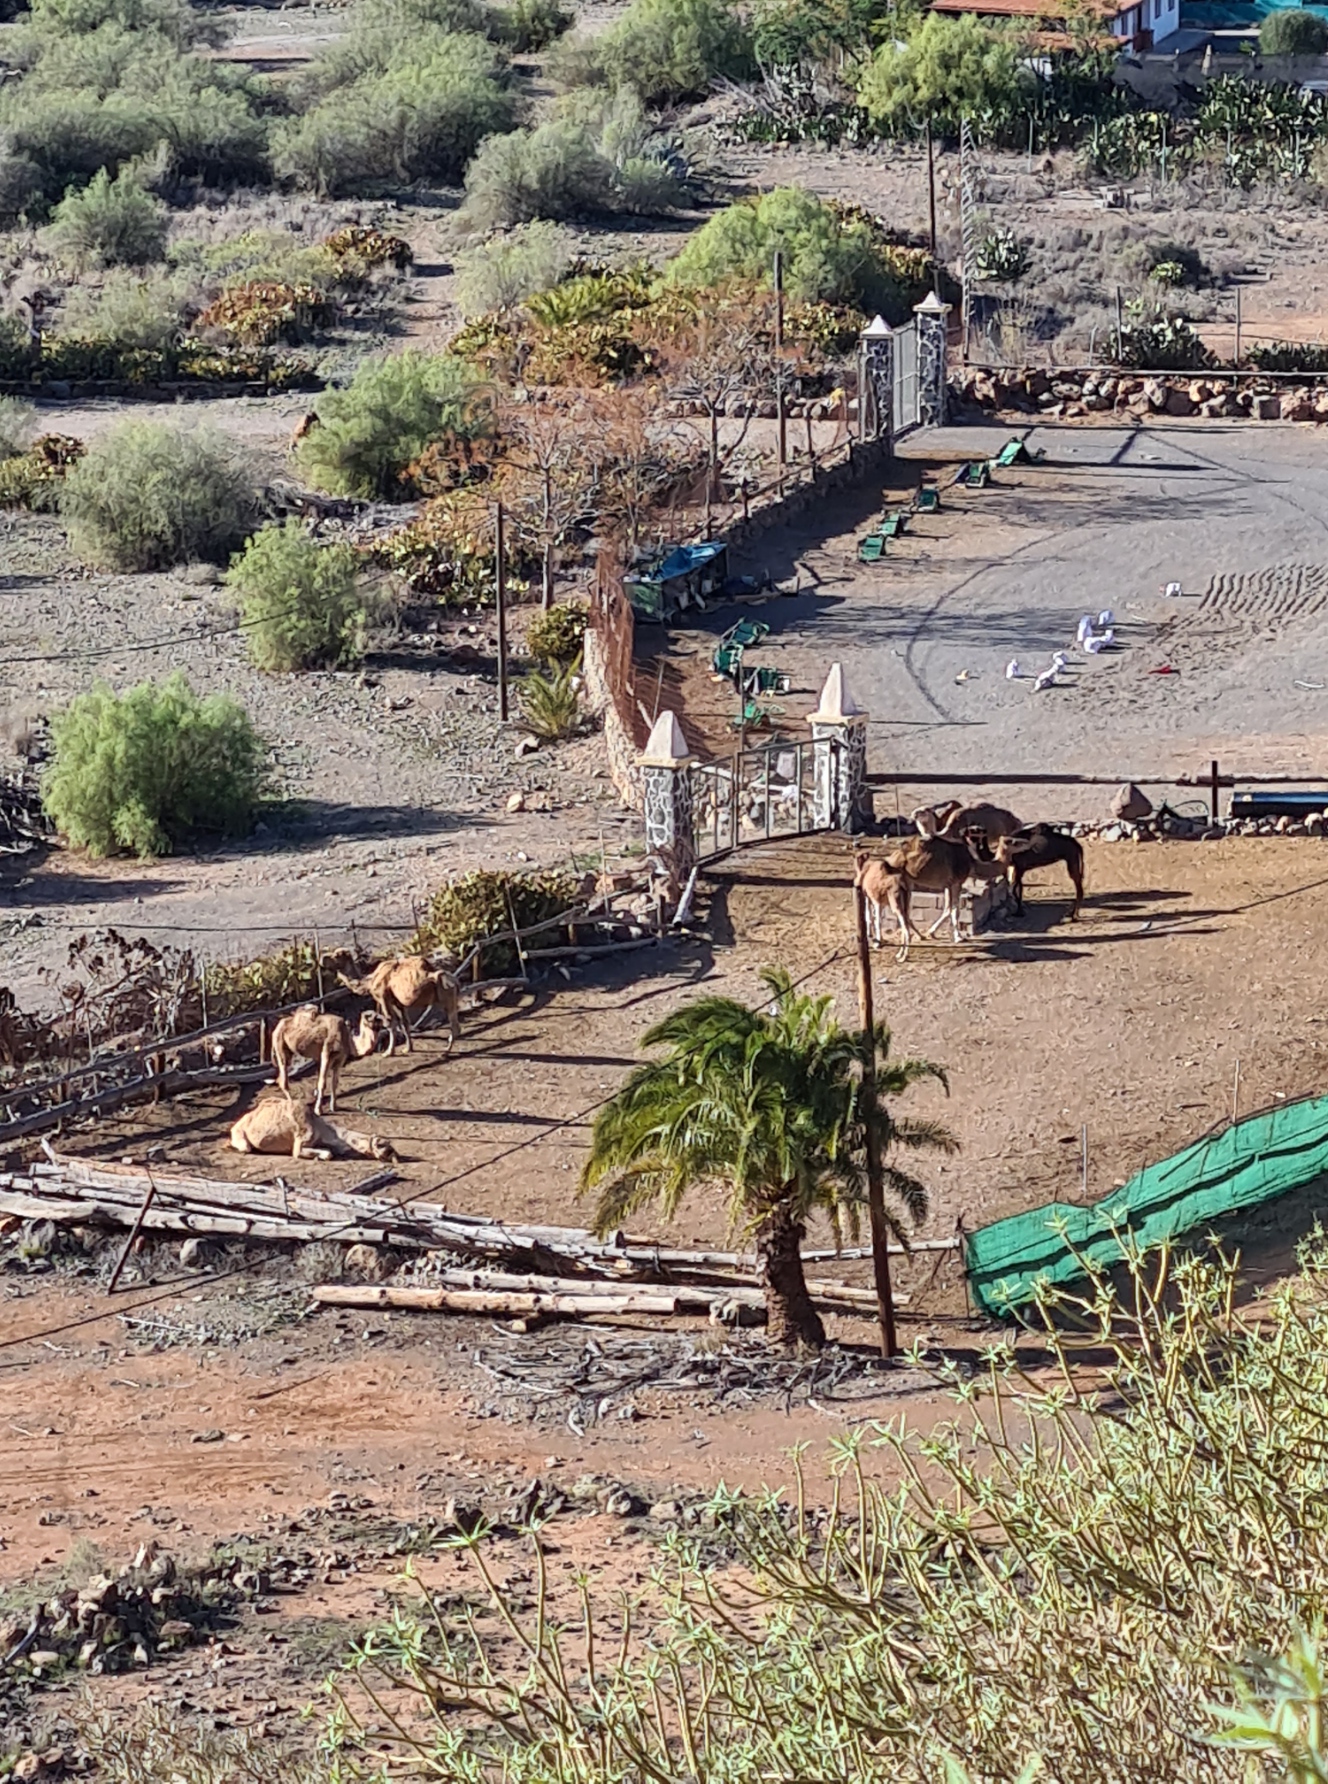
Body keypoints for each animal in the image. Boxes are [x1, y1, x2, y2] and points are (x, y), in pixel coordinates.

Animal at [229, 1091, 397, 1161]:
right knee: (245, 1147)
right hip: (240, 1135)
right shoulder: (301, 1140)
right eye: (384, 1147)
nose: (395, 1155)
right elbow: (327, 1154)